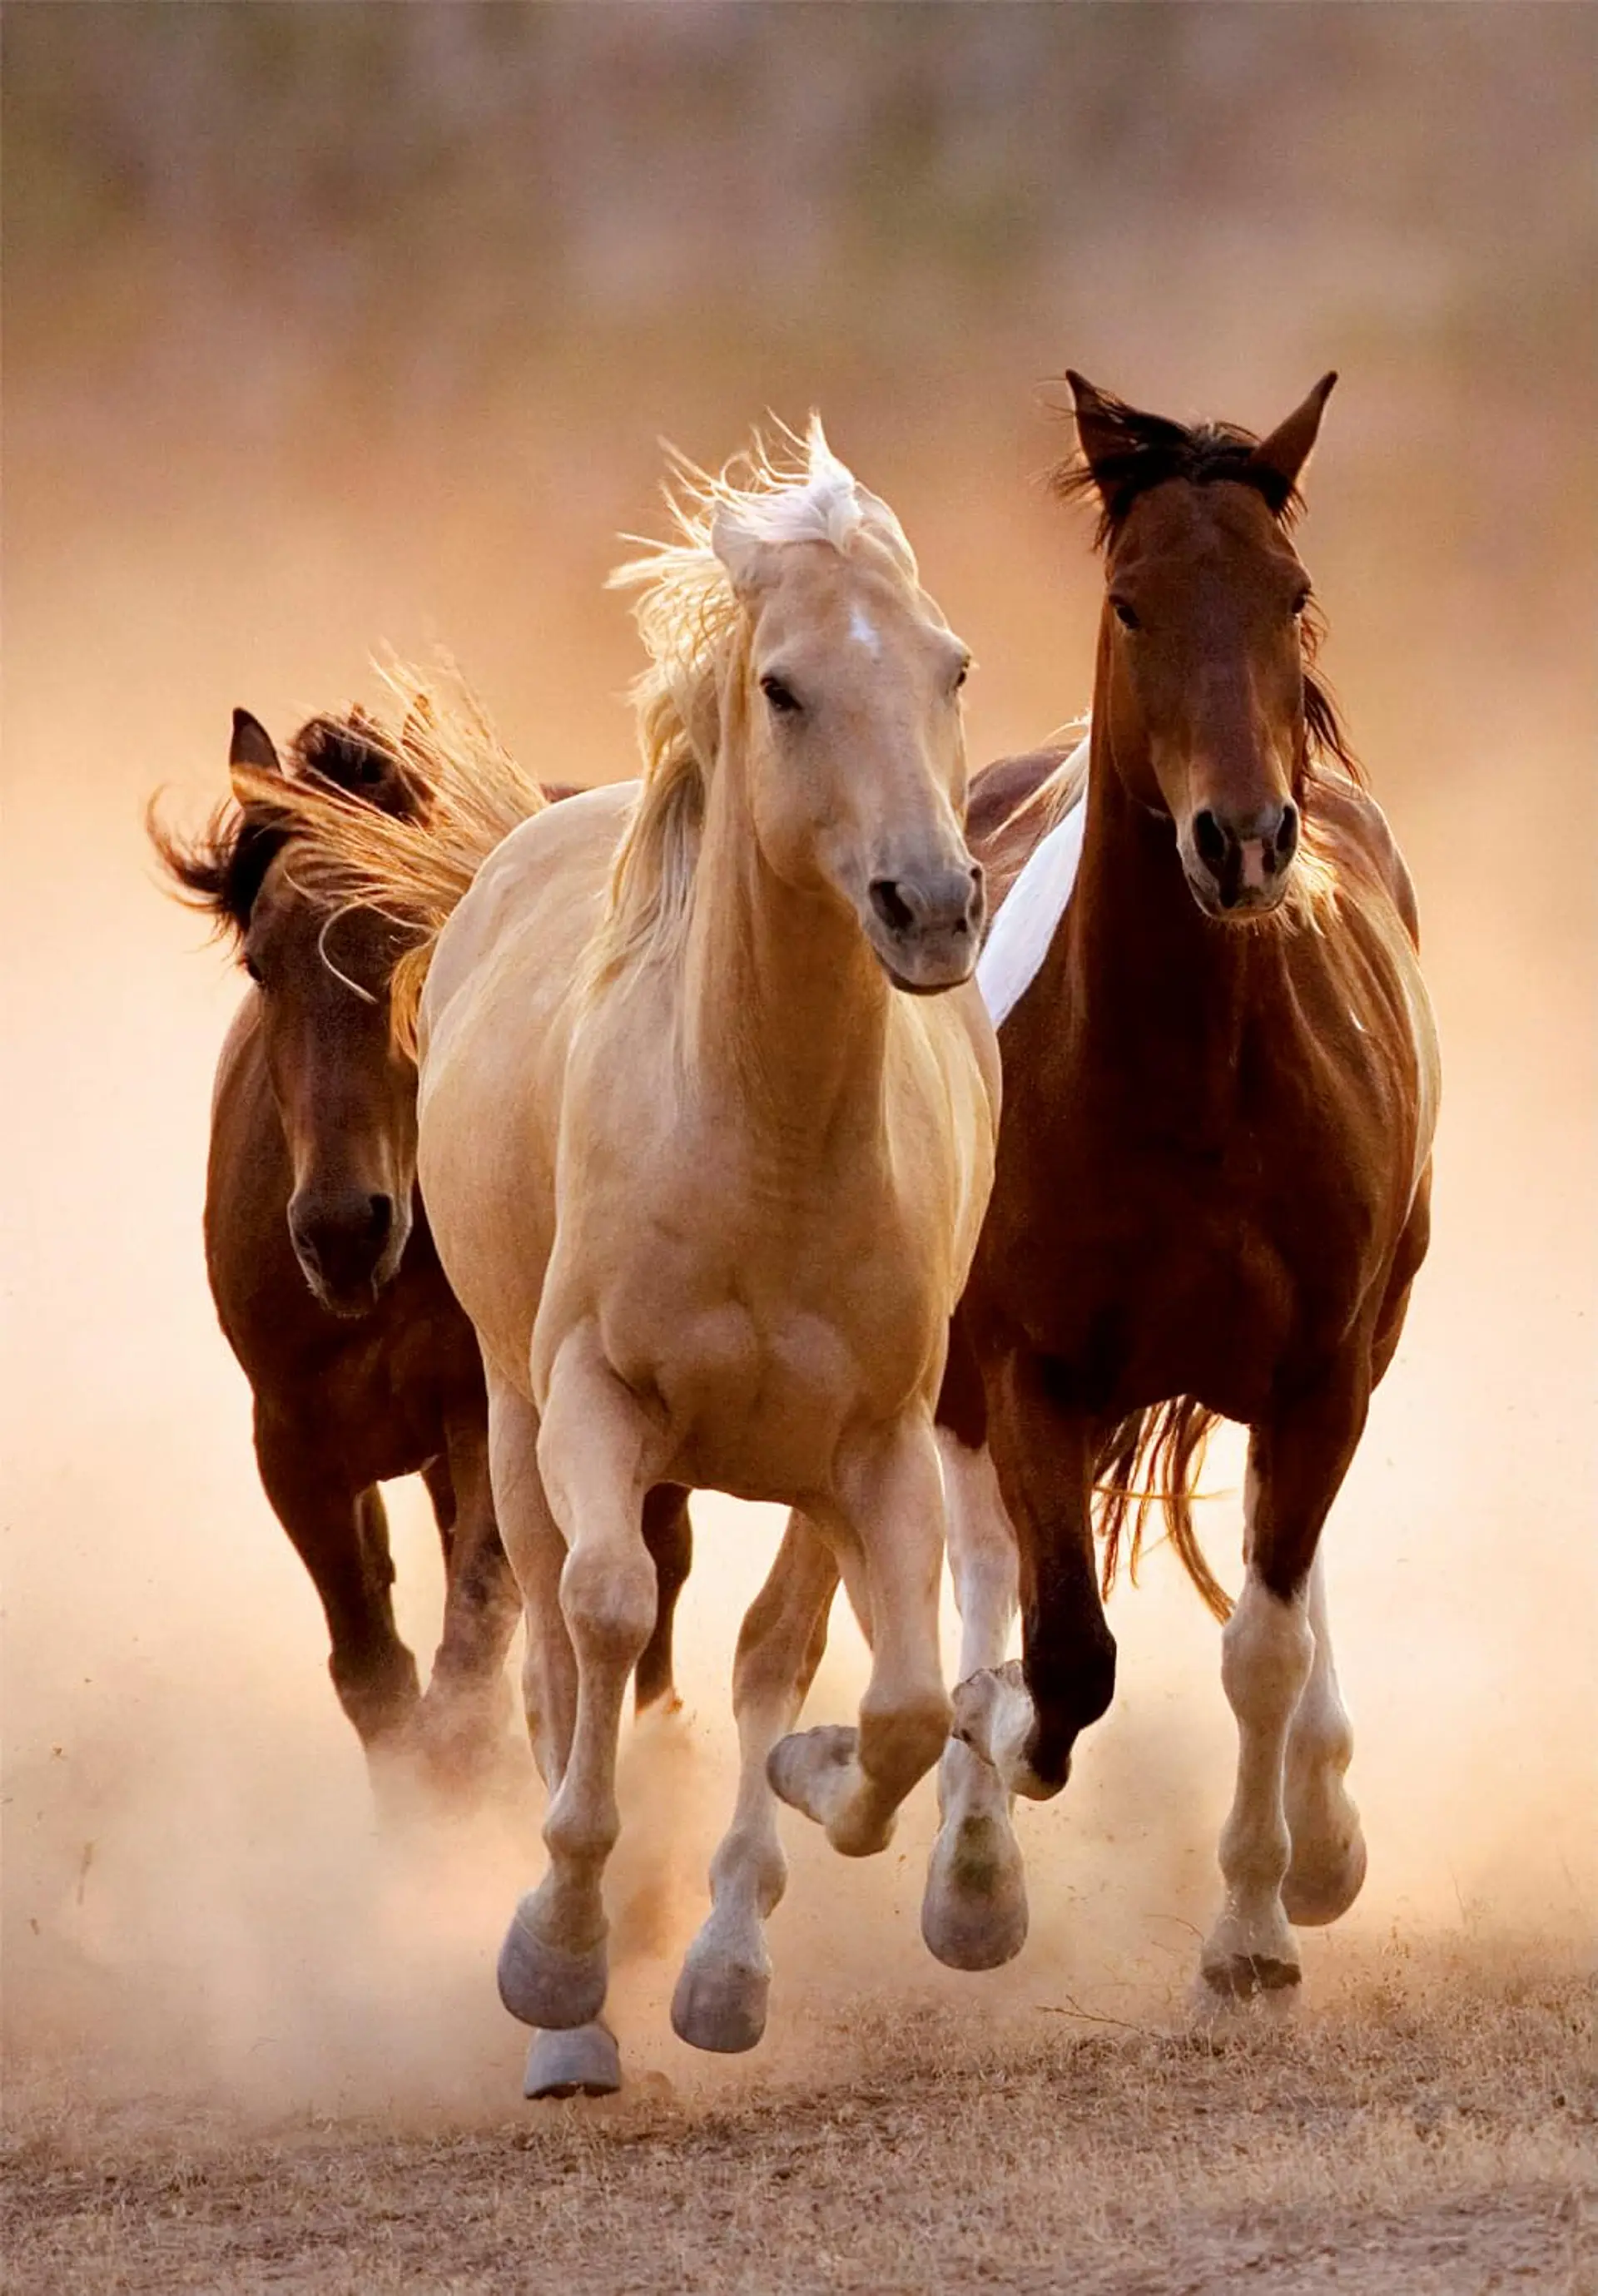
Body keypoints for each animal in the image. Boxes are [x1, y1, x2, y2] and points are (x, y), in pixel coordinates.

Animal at [149, 701, 695, 1811]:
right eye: (260, 962)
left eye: (419, 940)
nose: (341, 1230)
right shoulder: (296, 1446)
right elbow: (377, 1676)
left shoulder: (490, 1418)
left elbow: (469, 1664)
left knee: (658, 1567)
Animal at [249, 422, 1000, 2098]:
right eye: (783, 685)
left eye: (952, 665)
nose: (932, 905)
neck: (759, 1137)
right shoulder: (591, 1404)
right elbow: (598, 1620)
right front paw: (558, 1961)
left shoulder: (875, 1444)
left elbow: (886, 1699)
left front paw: (792, 1853)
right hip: (512, 1422)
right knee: (553, 1645)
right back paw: (578, 2011)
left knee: (778, 1648)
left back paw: (726, 1944)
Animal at [941, 374, 1440, 2009]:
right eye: (1132, 601)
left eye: (1289, 593)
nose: (1243, 839)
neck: (1188, 1084)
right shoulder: (1028, 1366)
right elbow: (1064, 1648)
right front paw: (1000, 1752)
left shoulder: (1320, 1372)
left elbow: (1263, 1645)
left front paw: (1258, 1921)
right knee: (980, 1559)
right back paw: (968, 1857)